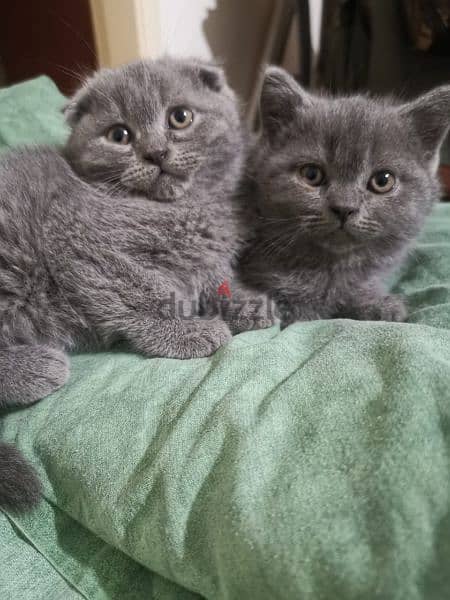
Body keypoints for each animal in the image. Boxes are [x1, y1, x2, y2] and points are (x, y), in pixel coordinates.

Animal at [0, 58, 268, 512]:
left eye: (180, 117)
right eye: (119, 135)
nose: (156, 152)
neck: (186, 206)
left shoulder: (205, 255)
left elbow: (215, 279)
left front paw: (248, 303)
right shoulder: (80, 240)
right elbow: (146, 291)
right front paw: (189, 332)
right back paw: (37, 368)